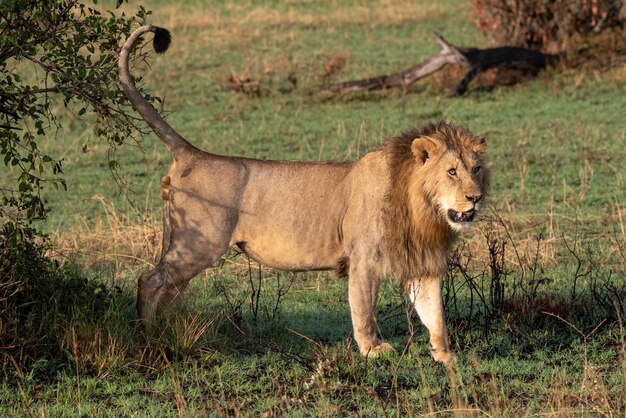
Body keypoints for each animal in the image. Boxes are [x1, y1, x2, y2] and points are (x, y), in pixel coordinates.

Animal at [117, 25, 488, 362]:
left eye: (476, 170)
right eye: (451, 172)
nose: (476, 197)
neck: (424, 212)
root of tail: (192, 153)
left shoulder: (421, 263)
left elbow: (435, 314)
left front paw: (447, 357)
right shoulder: (363, 259)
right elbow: (364, 309)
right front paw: (372, 350)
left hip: (179, 242)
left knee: (167, 289)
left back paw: (165, 330)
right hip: (198, 244)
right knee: (149, 281)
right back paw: (149, 337)